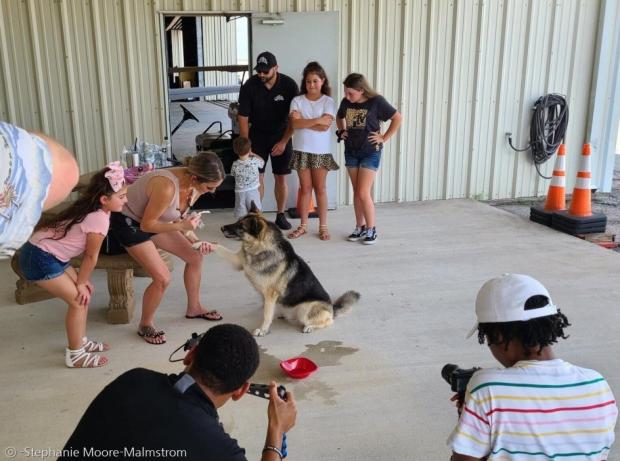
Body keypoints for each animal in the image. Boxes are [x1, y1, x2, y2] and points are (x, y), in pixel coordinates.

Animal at [216, 205, 358, 334]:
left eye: (241, 226)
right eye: (237, 221)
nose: (222, 228)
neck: (261, 248)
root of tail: (332, 308)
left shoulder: (270, 295)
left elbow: (266, 315)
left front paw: (263, 330)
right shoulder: (237, 262)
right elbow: (220, 248)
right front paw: (209, 244)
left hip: (305, 309)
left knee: (328, 321)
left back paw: (310, 327)